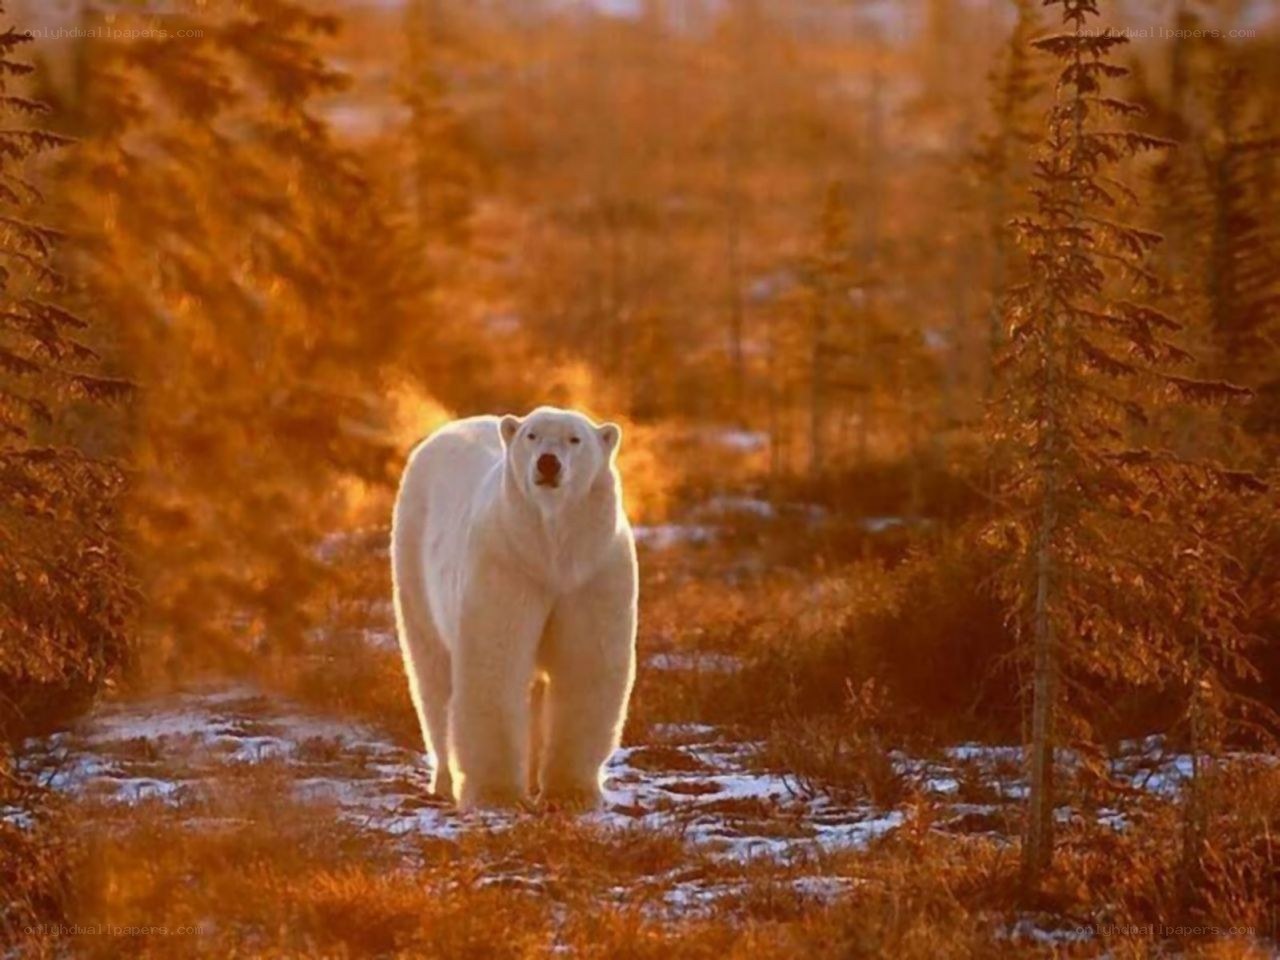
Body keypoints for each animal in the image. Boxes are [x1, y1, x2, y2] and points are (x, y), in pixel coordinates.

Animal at [391, 406, 638, 811]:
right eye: (531, 435)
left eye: (575, 439)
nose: (548, 463)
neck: (549, 550)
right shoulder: (506, 561)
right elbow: (496, 662)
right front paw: (497, 793)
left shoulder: (592, 571)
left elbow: (586, 665)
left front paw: (571, 792)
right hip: (413, 557)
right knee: (432, 674)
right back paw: (444, 780)